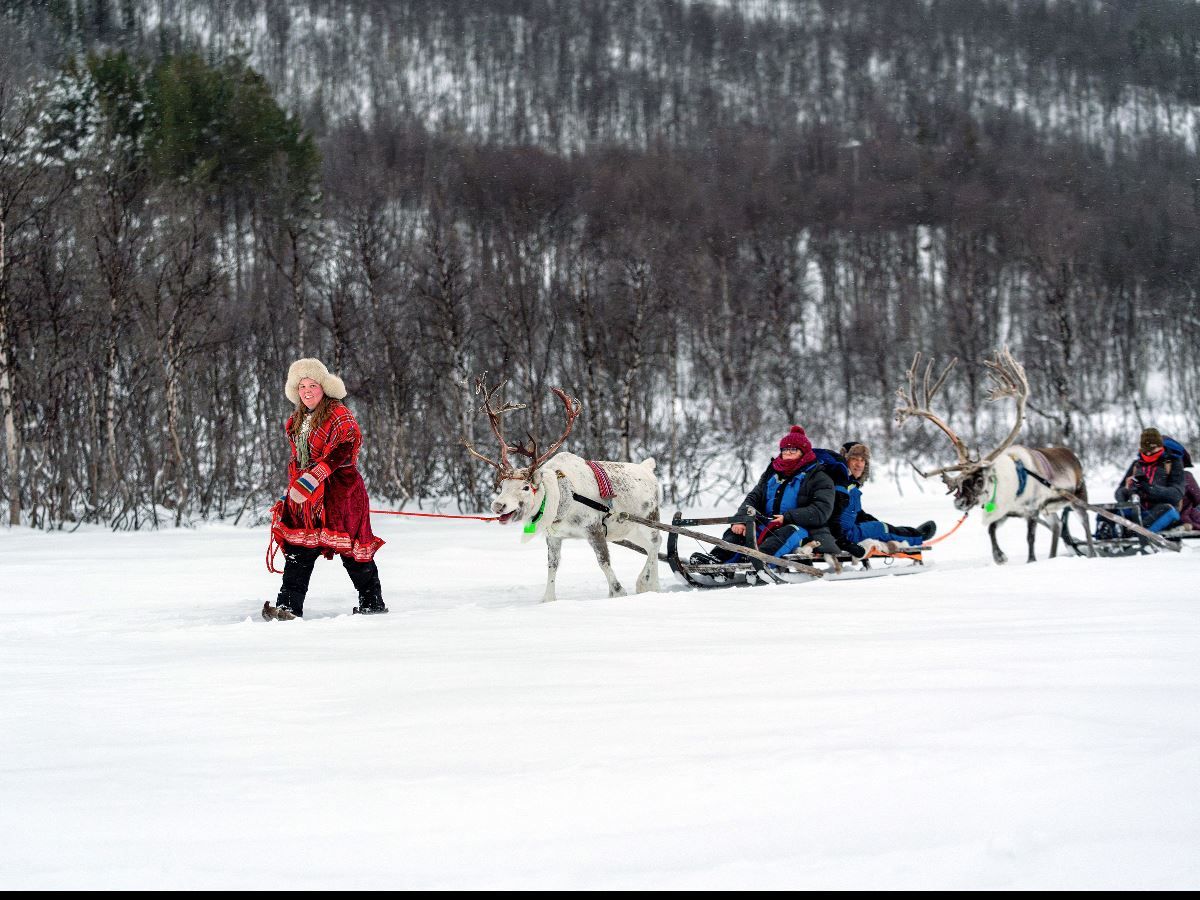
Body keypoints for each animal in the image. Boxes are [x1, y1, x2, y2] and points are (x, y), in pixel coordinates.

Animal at [464, 377, 662, 602]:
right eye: (503, 485)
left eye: (525, 486)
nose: (498, 505)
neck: (563, 501)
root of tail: (648, 467)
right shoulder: (554, 536)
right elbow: (553, 566)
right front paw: (548, 598)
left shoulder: (594, 528)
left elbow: (603, 561)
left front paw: (617, 591)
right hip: (629, 529)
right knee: (649, 547)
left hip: (650, 518)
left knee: (656, 544)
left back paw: (647, 582)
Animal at [895, 348, 1087, 565]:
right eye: (960, 483)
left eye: (979, 480)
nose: (959, 503)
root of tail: (1071, 455)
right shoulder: (1005, 512)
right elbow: (991, 529)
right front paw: (999, 556)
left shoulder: (1032, 510)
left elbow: (1030, 538)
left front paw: (1030, 560)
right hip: (1050, 510)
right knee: (1056, 526)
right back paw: (1054, 555)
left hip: (1077, 499)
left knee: (1085, 528)